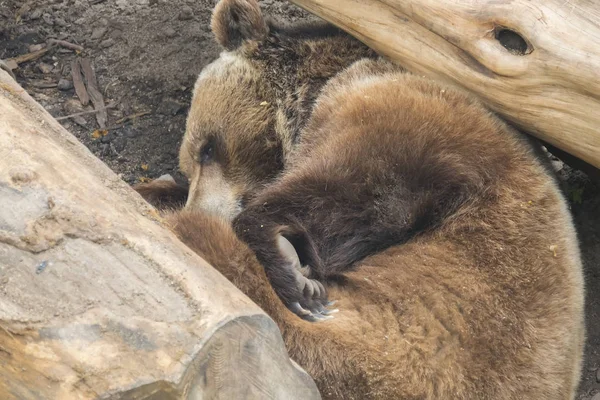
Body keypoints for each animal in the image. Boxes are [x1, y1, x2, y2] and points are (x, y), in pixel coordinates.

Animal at [138, 1, 584, 398]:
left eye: (207, 148)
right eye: (193, 161)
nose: (200, 205)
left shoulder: (412, 116)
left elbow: (362, 192)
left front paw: (288, 263)